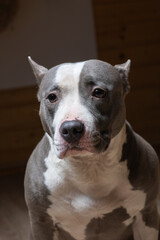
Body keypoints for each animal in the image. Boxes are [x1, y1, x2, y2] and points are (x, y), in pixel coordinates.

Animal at [24, 57, 159, 239]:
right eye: (52, 97)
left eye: (98, 92)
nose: (71, 128)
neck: (89, 168)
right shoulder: (41, 222)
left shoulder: (147, 214)